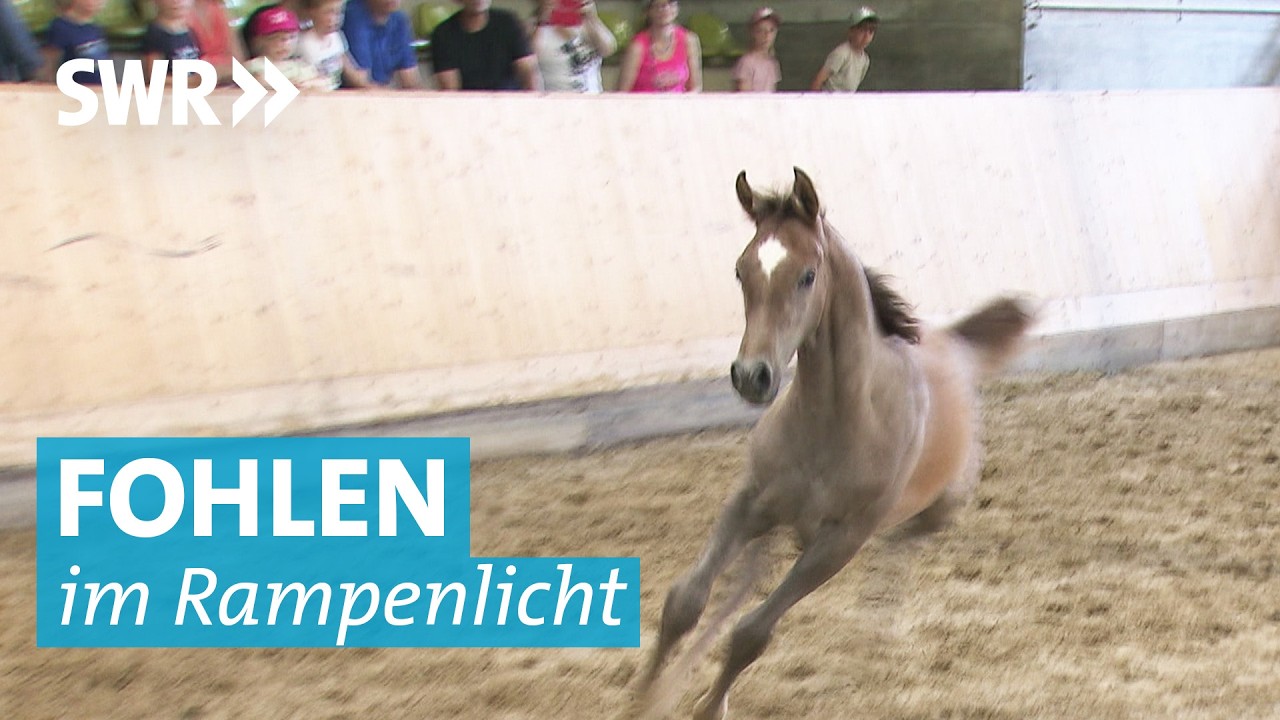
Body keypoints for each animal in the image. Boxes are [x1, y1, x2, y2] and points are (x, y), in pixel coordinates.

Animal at [635, 168, 1034, 719]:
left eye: (807, 275)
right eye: (740, 271)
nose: (752, 376)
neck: (838, 421)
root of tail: (958, 345)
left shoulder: (840, 541)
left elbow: (752, 634)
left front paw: (708, 706)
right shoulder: (749, 500)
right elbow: (684, 602)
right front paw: (644, 696)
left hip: (935, 510)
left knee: (899, 546)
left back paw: (879, 624)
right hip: (777, 521)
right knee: (748, 573)